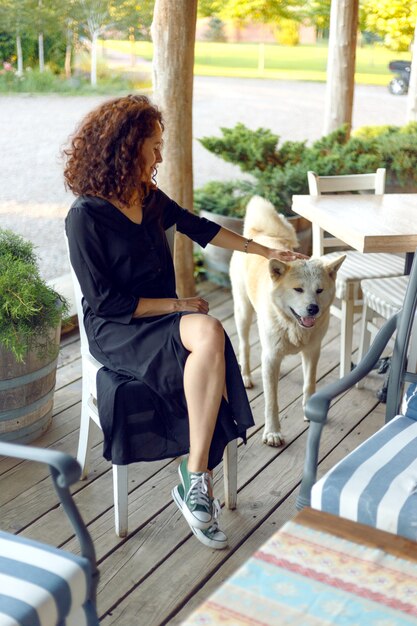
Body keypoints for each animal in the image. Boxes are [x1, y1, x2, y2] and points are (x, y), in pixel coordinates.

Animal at [229, 195, 342, 444]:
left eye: (319, 290)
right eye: (298, 289)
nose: (313, 309)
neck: (292, 326)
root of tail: (258, 232)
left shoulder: (312, 352)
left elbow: (309, 384)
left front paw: (308, 411)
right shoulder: (272, 355)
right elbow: (271, 401)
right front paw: (272, 432)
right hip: (243, 312)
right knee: (244, 345)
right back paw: (246, 376)